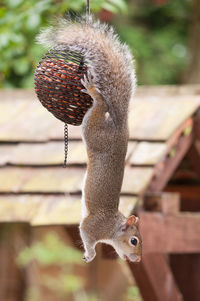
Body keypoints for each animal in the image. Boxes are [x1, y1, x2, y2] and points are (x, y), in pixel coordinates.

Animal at [37, 15, 142, 262]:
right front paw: (91, 254)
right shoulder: (91, 226)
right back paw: (93, 91)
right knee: (100, 104)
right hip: (93, 131)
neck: (112, 229)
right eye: (134, 241)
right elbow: (86, 236)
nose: (138, 258)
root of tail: (120, 126)